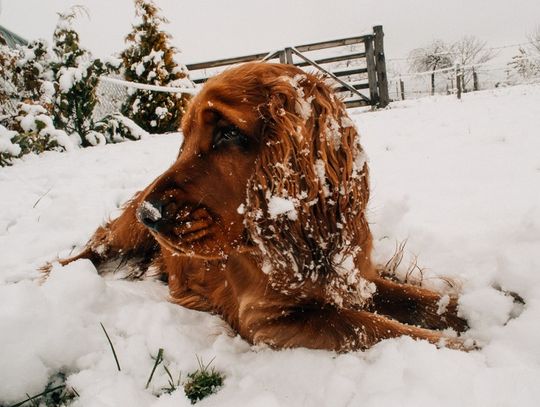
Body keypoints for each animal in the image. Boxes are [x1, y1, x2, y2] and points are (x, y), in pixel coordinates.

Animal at [56, 62, 468, 352]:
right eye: (185, 138)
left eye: (228, 133)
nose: (149, 214)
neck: (302, 242)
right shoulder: (268, 320)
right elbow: (370, 326)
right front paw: (458, 346)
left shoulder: (356, 278)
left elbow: (420, 299)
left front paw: (472, 312)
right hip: (122, 233)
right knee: (93, 246)